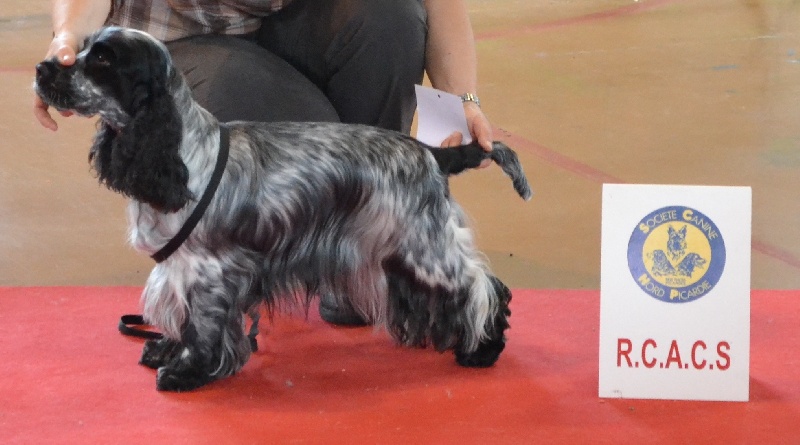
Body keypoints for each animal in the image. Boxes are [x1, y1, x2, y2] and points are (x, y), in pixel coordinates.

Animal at [34, 27, 532, 392]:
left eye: (103, 60)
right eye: (80, 49)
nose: (43, 68)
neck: (182, 151)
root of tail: (430, 153)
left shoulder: (211, 269)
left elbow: (202, 324)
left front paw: (185, 371)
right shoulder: (177, 267)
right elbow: (177, 313)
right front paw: (164, 350)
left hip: (424, 249)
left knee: (485, 288)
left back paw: (481, 352)